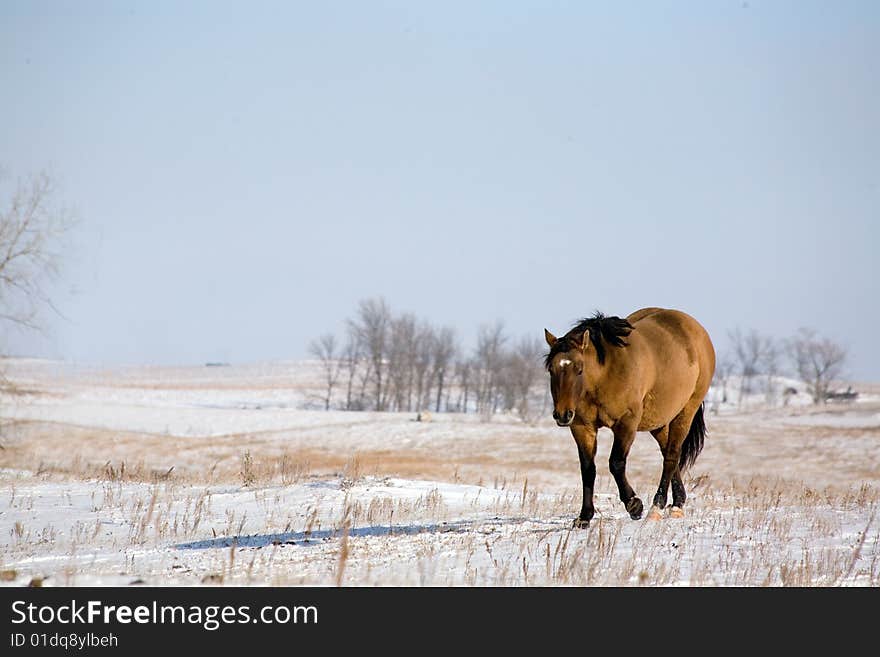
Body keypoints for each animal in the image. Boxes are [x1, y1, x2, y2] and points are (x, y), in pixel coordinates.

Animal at [544, 308, 716, 528]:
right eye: (551, 370)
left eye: (579, 369)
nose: (562, 415)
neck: (605, 374)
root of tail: (696, 329)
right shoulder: (582, 427)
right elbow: (588, 469)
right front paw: (584, 517)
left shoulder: (626, 423)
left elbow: (616, 463)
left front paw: (634, 505)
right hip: (658, 422)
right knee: (669, 454)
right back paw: (678, 502)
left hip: (686, 412)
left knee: (671, 456)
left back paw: (659, 507)